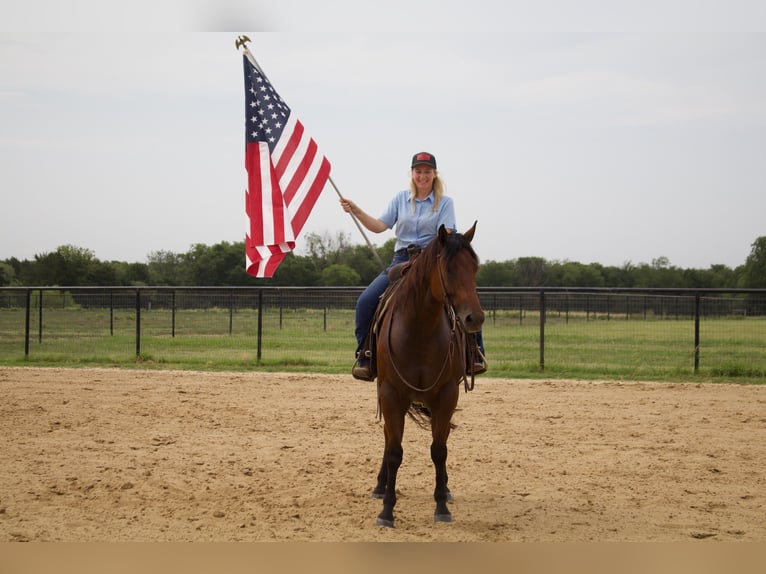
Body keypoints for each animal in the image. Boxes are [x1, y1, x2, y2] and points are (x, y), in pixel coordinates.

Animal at [372, 223, 486, 528]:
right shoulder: (391, 394)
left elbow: (439, 450)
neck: (419, 330)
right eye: (448, 269)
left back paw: (445, 489)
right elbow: (394, 451)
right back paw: (380, 486)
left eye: (475, 267)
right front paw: (387, 510)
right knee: (387, 440)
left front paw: (441, 506)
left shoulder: (446, 395)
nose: (474, 318)